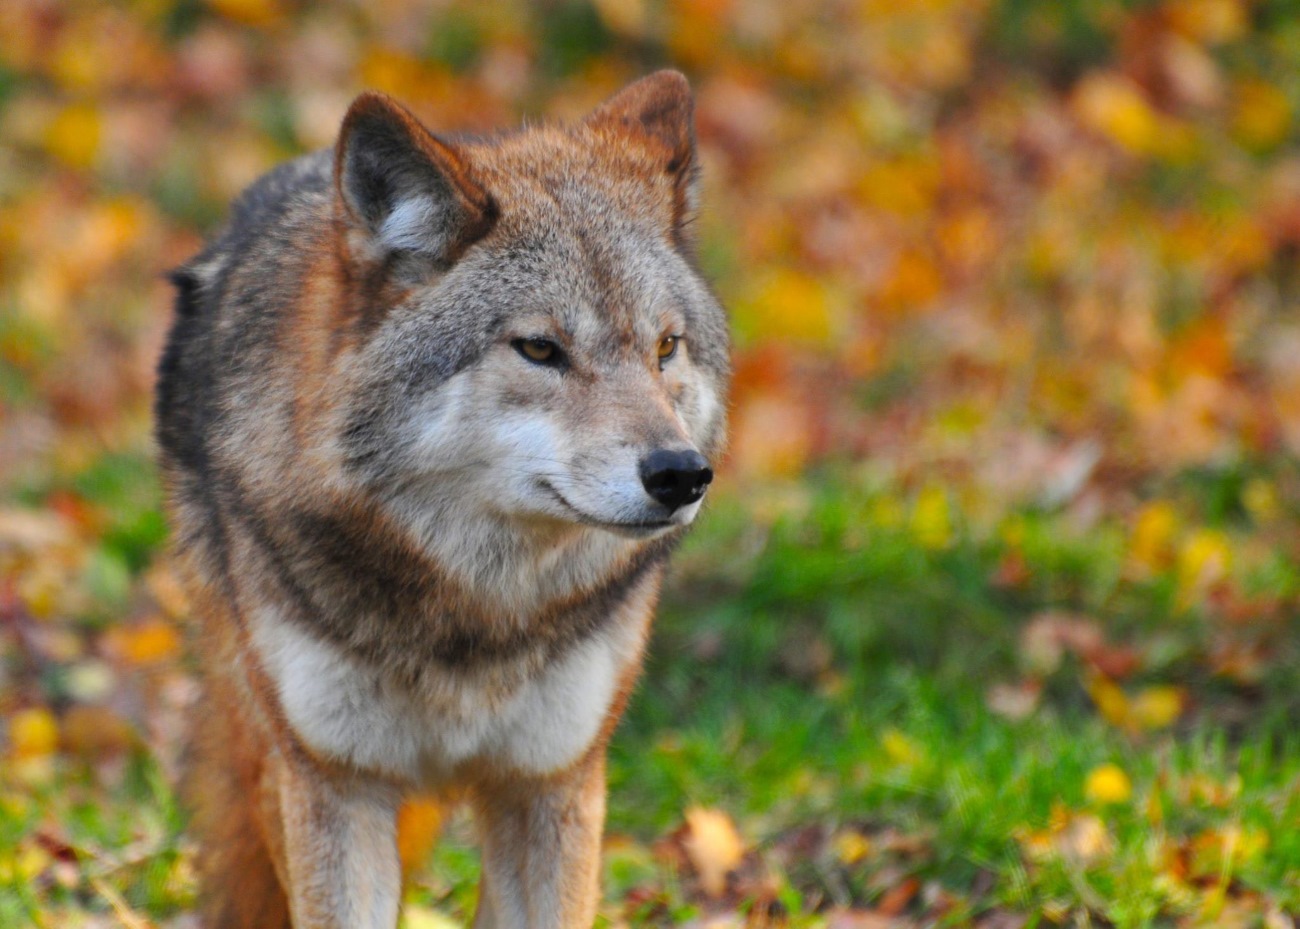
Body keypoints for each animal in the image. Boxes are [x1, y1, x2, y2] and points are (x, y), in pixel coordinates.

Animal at [152, 69, 733, 925]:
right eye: (540, 348)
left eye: (666, 347)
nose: (681, 473)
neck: (474, 616)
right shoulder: (334, 784)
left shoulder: (552, 781)